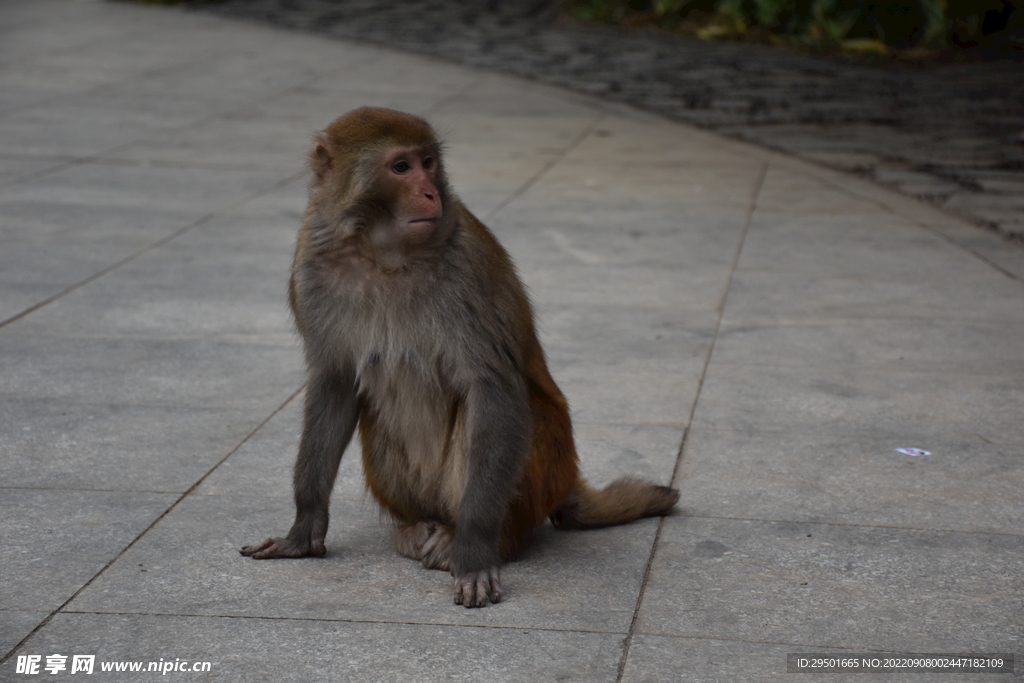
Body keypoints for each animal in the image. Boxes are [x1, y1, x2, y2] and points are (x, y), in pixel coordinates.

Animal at [241, 107, 679, 610]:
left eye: (428, 162)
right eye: (401, 167)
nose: (430, 192)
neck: (381, 253)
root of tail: (567, 478)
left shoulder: (465, 268)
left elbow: (492, 388)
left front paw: (473, 553)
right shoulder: (310, 265)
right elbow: (334, 381)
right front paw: (304, 528)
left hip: (543, 469)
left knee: (504, 413)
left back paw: (483, 539)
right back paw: (415, 527)